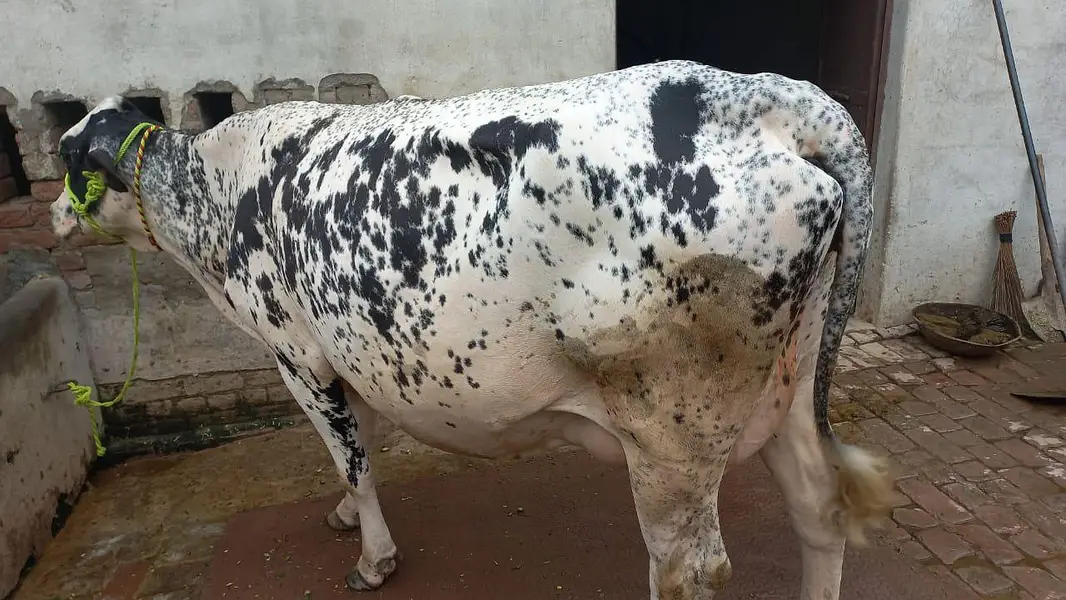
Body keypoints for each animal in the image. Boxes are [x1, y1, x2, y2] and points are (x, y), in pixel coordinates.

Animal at [51, 59, 894, 600]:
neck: (213, 190)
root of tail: (769, 97)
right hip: (789, 388)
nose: (56, 214)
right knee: (820, 511)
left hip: (670, 435)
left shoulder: (296, 353)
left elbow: (352, 458)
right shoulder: (356, 350)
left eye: (65, 159)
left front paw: (373, 558)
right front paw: (344, 517)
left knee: (689, 570)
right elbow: (360, 447)